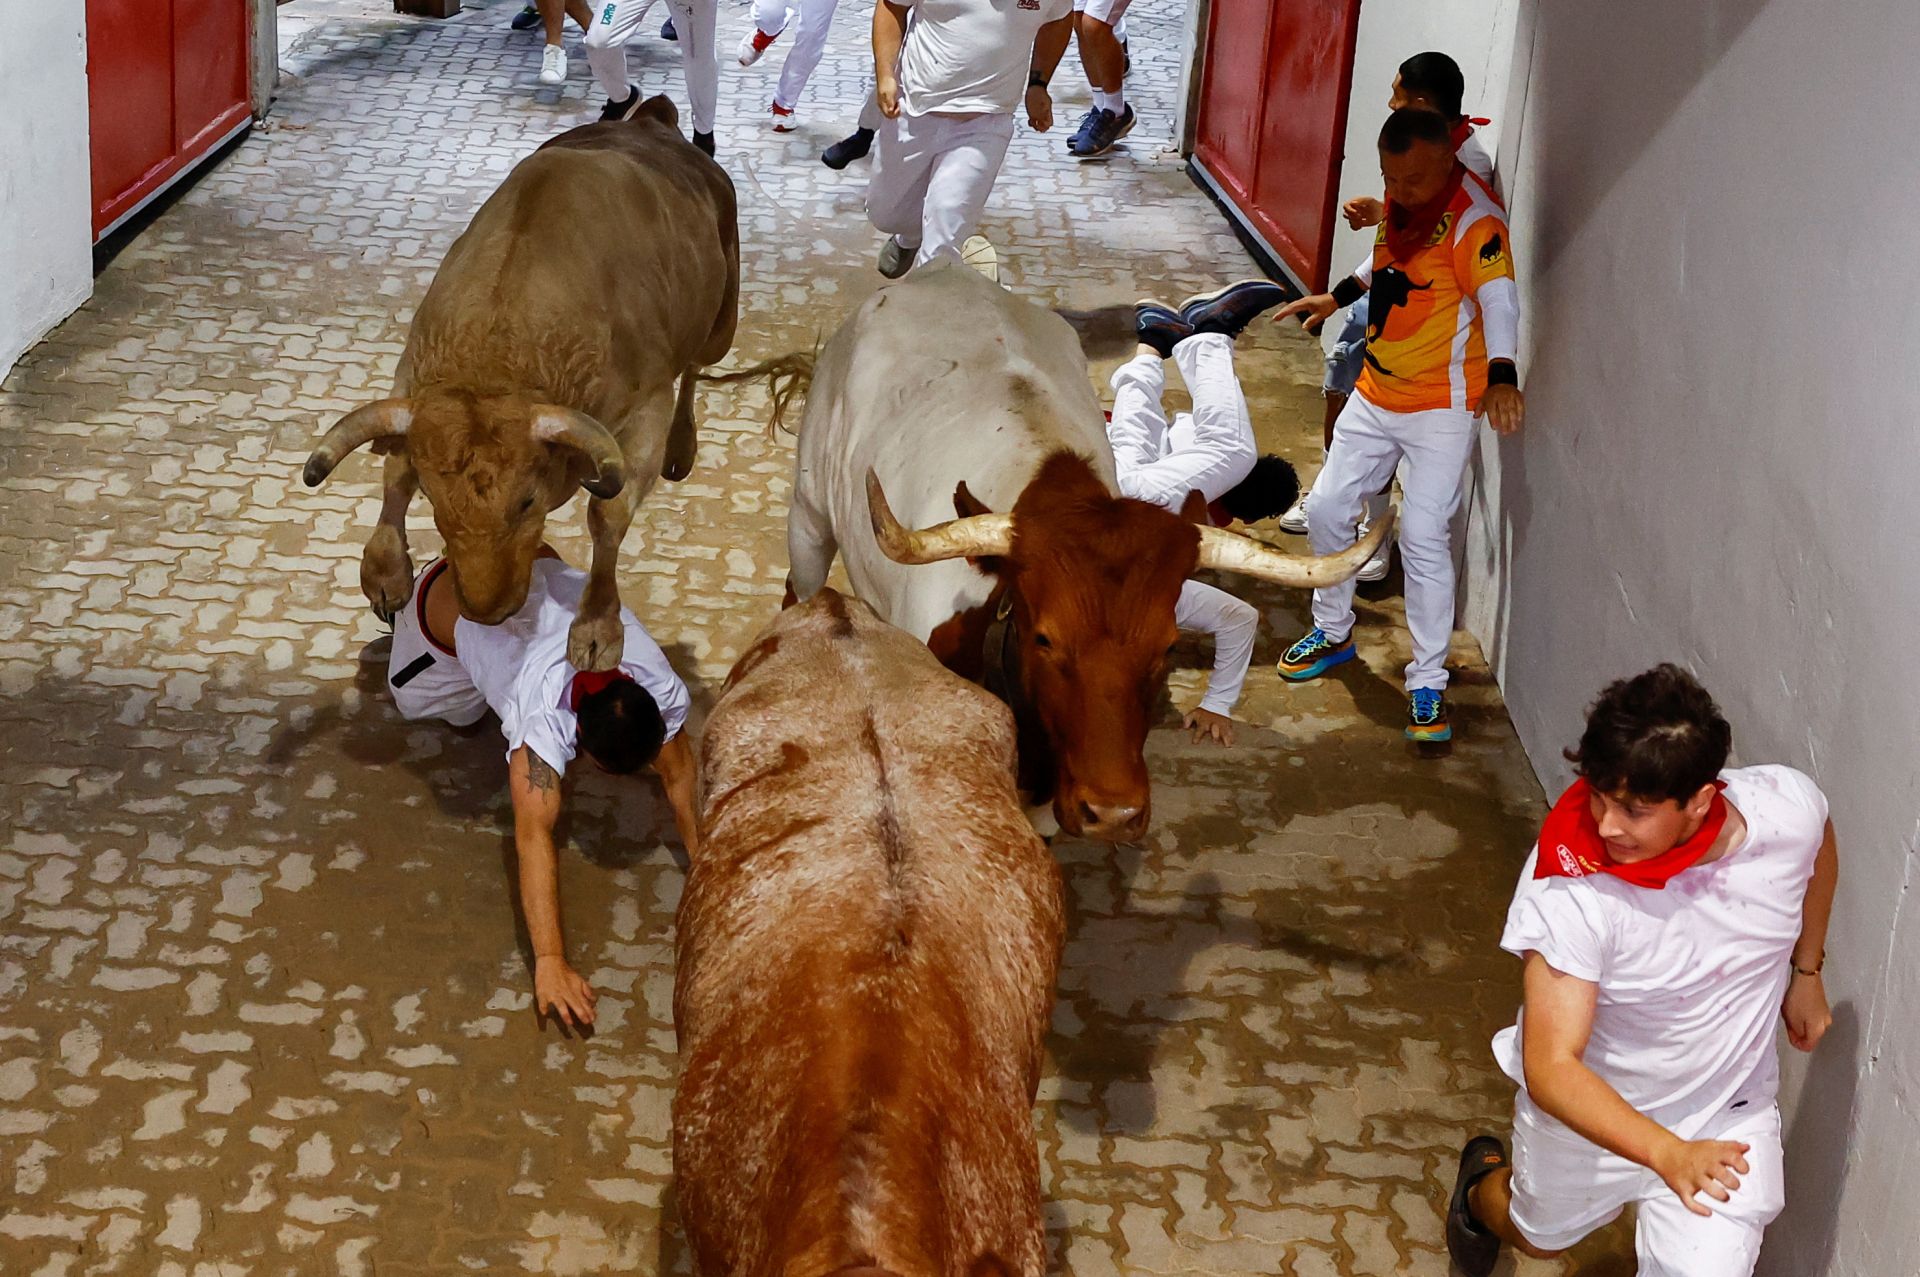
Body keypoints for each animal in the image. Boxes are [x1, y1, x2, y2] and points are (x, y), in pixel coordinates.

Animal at [299, 96, 733, 672]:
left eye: (527, 501)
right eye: (434, 503)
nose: (486, 610)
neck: (499, 354)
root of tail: (652, 121)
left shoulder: (645, 413)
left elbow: (608, 514)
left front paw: (597, 625)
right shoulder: (412, 382)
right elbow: (396, 472)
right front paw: (385, 575)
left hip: (721, 326)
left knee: (696, 367)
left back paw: (683, 446)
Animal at [783, 261, 1397, 837]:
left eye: (1167, 645)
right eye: (1044, 637)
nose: (1115, 813)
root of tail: (943, 272)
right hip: (809, 514)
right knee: (801, 584)